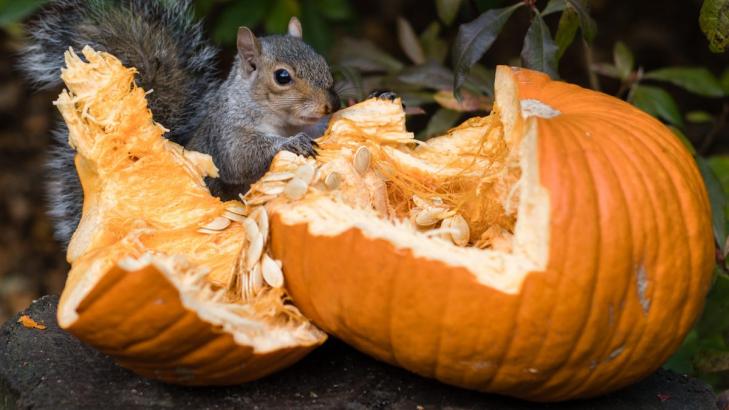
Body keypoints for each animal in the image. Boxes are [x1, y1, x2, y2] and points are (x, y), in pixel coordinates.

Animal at [19, 0, 338, 247]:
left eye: (324, 62)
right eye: (282, 77)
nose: (329, 105)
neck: (281, 120)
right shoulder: (227, 131)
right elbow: (241, 159)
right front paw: (291, 143)